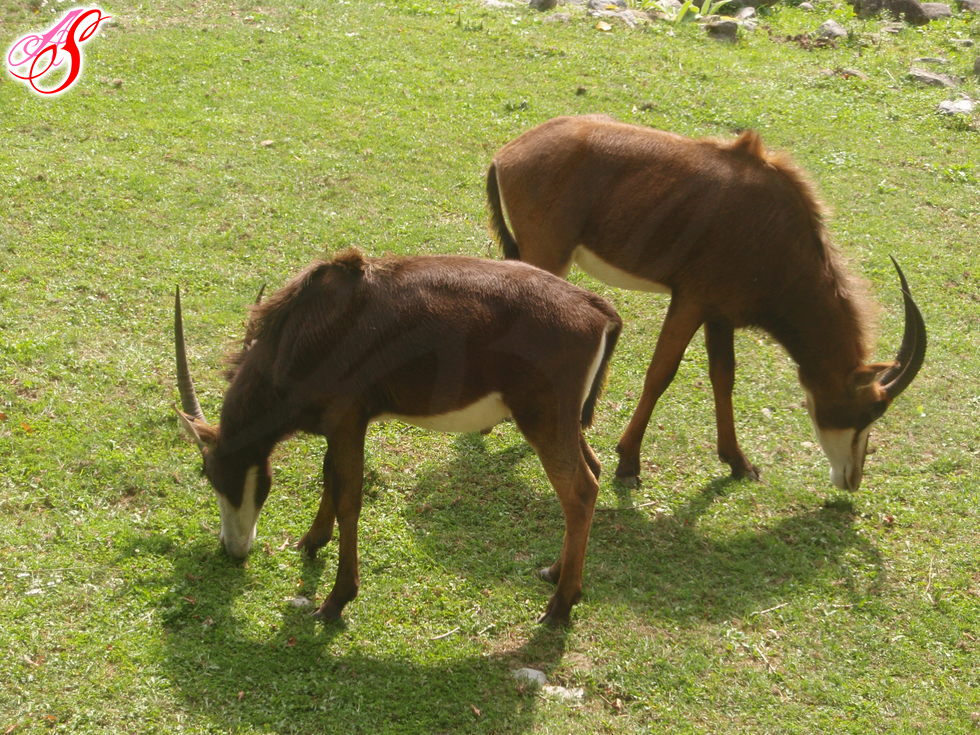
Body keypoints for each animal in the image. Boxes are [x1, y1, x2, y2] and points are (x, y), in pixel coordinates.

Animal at [174, 249, 621, 626]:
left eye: (212, 474)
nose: (233, 550)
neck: (307, 327)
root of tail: (597, 308)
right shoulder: (340, 426)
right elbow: (329, 478)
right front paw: (312, 541)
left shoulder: (347, 419)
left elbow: (349, 498)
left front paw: (336, 600)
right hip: (562, 422)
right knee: (594, 469)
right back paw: (555, 573)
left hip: (542, 419)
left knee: (580, 490)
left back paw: (560, 607)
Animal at [486, 115, 926, 491]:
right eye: (872, 410)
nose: (852, 480)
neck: (777, 233)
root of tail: (506, 154)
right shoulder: (690, 301)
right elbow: (661, 374)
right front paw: (628, 464)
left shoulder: (720, 314)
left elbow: (723, 377)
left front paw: (738, 462)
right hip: (548, 255)